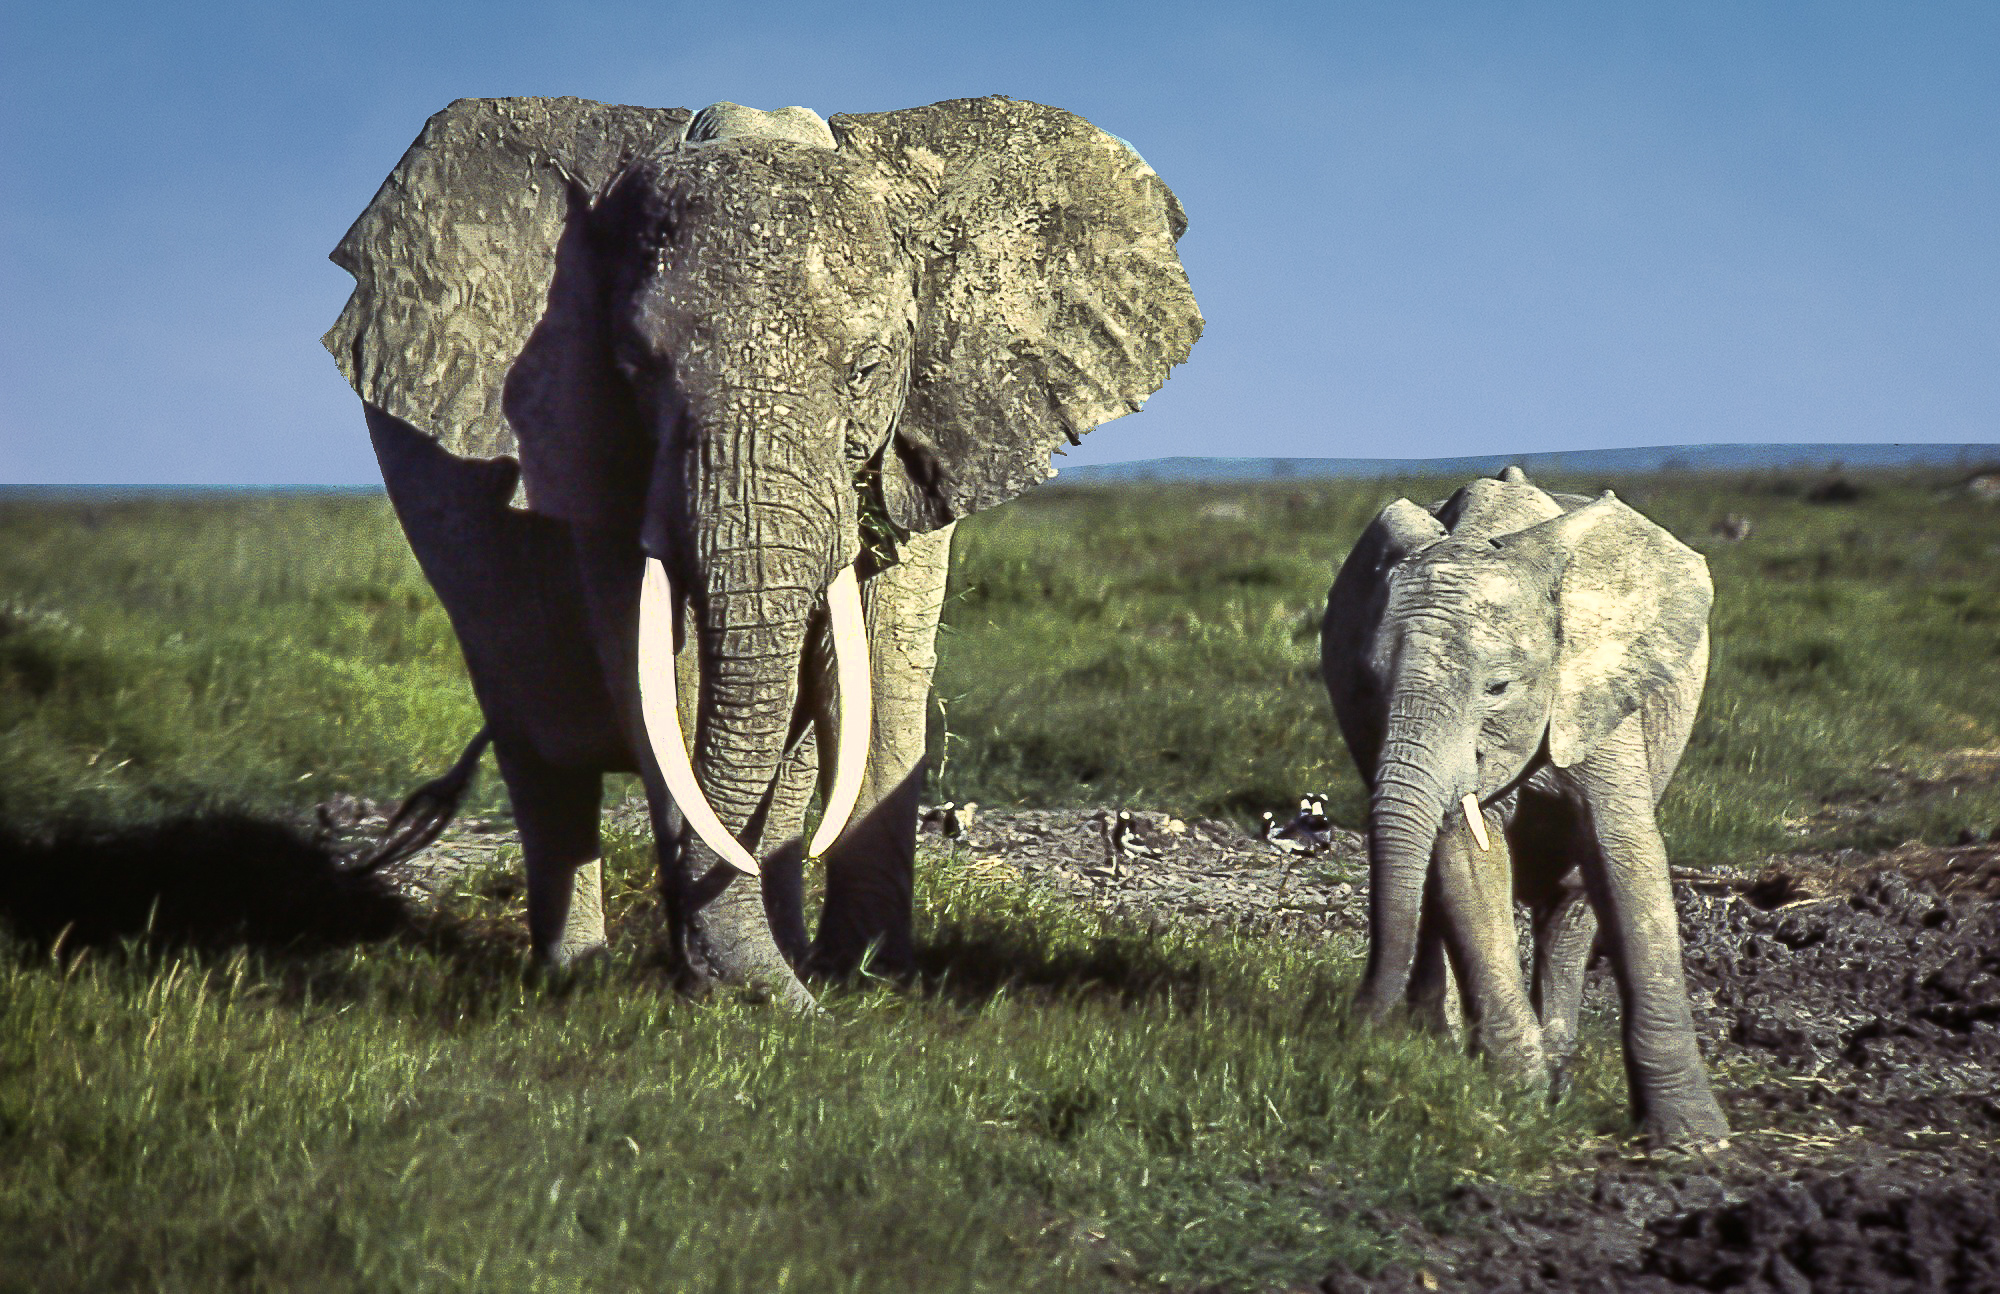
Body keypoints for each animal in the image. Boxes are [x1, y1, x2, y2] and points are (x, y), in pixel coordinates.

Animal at [328, 98, 1200, 1012]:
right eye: (637, 366)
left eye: (865, 369)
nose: (788, 1003)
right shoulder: (592, 443)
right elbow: (665, 681)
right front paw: (749, 996)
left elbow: (880, 674)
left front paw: (867, 983)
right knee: (538, 746)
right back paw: (581, 977)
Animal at [1320, 468, 1728, 1152]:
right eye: (1368, 684)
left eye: (1498, 688)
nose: (1356, 1033)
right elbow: (1467, 861)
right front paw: (1517, 1096)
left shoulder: (1594, 690)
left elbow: (1624, 856)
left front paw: (1695, 1140)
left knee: (1573, 899)